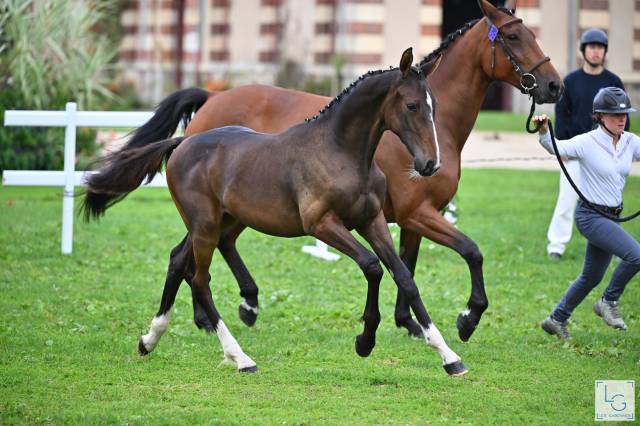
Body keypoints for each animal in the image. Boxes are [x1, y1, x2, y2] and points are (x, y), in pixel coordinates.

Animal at [83, 49, 470, 375]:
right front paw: (365, 340)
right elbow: (373, 267)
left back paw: (150, 338)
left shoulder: (371, 221)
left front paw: (449, 356)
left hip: (214, 221)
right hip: (205, 225)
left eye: (434, 105)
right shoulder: (322, 225)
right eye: (412, 105)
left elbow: (404, 276)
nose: (430, 164)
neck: (341, 152)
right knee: (200, 279)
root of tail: (182, 142)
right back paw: (240, 357)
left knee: (180, 261)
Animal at [120, 0, 563, 343]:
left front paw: (410, 324)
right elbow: (470, 251)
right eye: (513, 38)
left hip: (236, 210)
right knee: (194, 254)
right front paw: (467, 318)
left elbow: (407, 265)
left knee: (206, 249)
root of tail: (211, 101)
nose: (554, 85)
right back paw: (216, 315)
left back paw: (236, 307)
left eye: (532, 33)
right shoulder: (418, 213)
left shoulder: (409, 218)